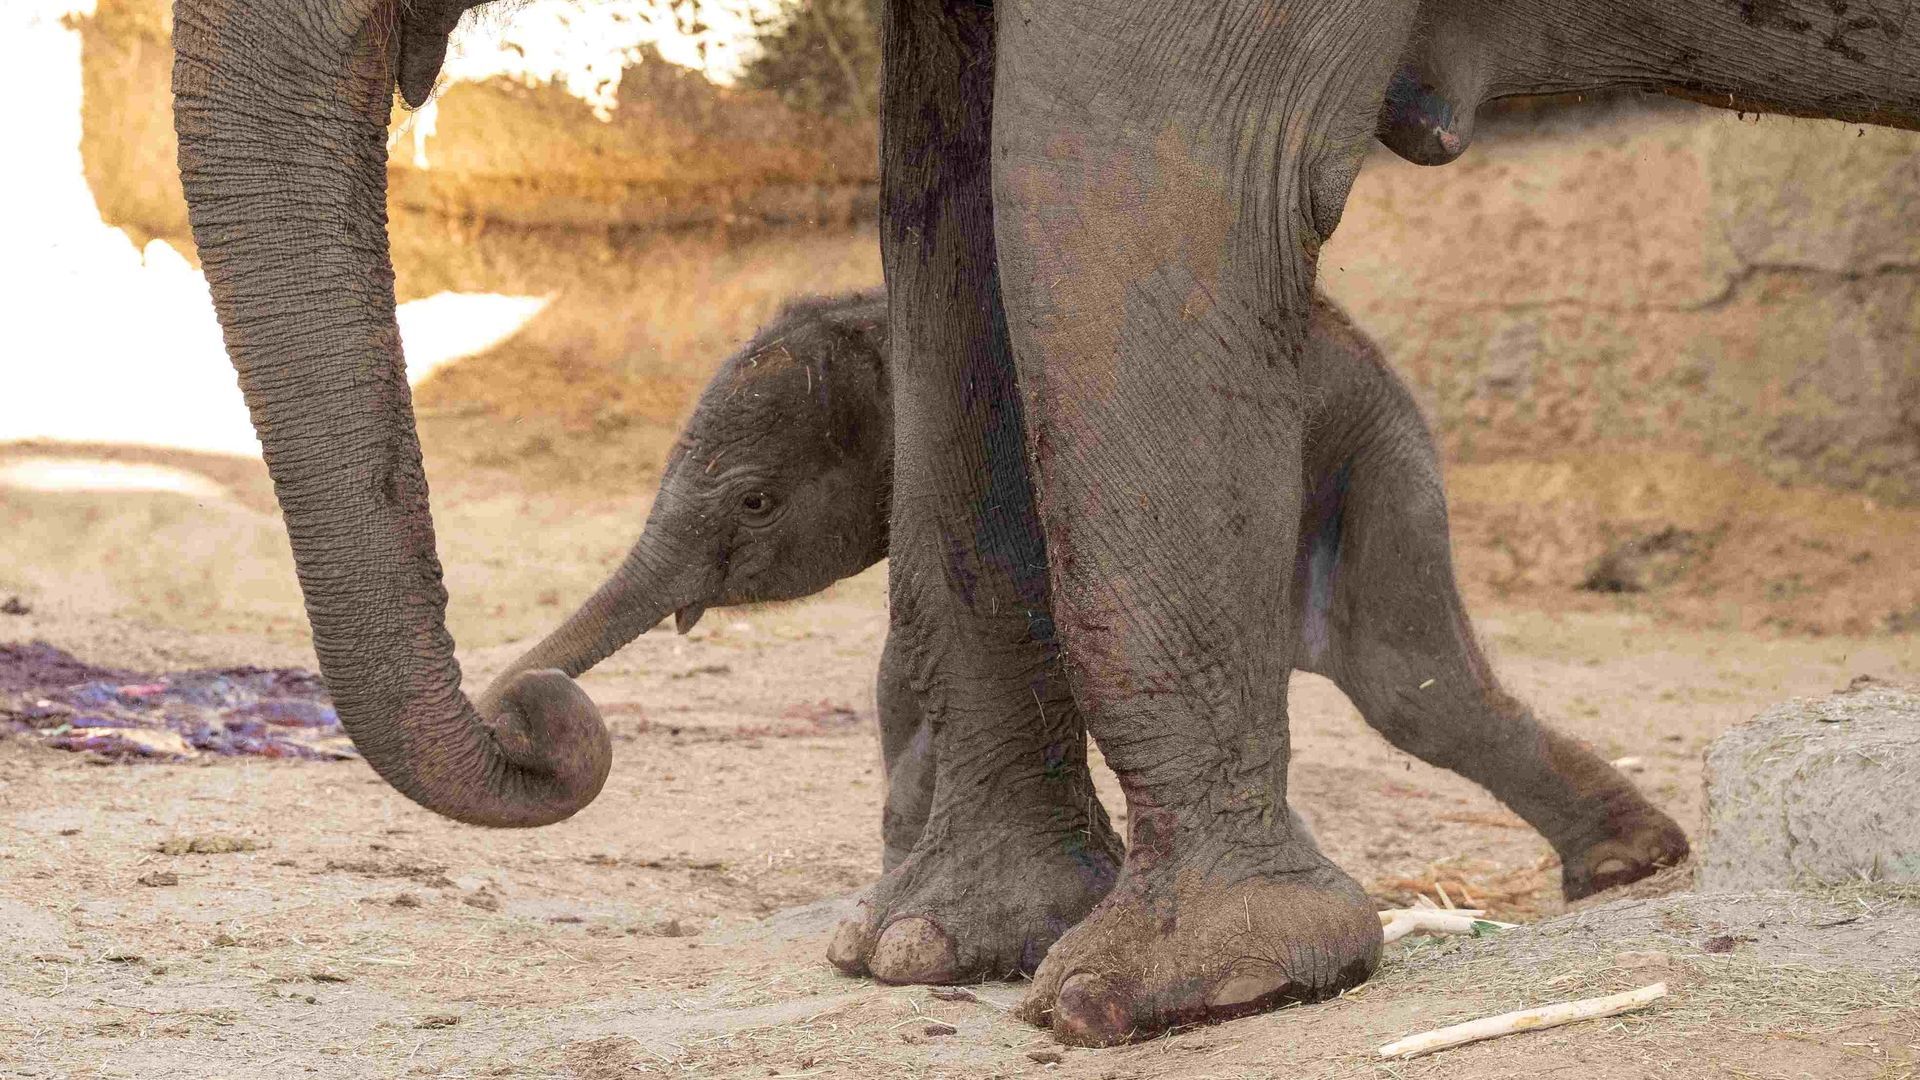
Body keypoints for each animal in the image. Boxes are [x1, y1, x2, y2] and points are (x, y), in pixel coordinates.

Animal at [480, 286, 1687, 898]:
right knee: (1414, 685)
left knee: (1405, 684)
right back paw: (1627, 864)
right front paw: (908, 881)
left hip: (1362, 454)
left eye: (756, 503)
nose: (528, 711)